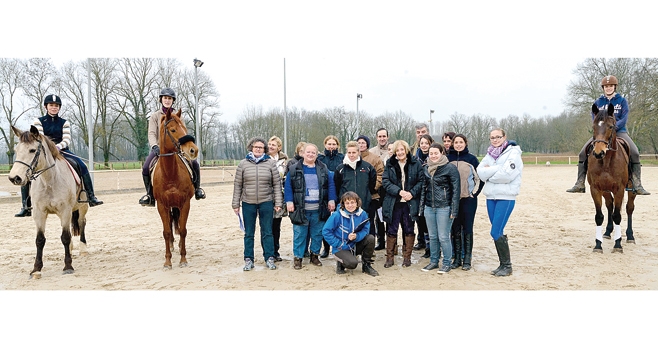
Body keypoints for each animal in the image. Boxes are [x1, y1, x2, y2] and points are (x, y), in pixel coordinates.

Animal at [7, 125, 89, 278]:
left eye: (32, 150)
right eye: (16, 150)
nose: (14, 177)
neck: (49, 181)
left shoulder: (65, 210)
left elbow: (65, 237)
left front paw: (68, 266)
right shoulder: (39, 213)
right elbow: (40, 240)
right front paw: (36, 269)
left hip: (82, 207)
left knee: (81, 224)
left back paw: (83, 248)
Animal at [152, 109, 197, 268]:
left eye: (184, 128)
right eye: (173, 130)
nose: (193, 150)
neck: (170, 174)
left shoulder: (185, 203)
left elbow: (183, 230)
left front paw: (183, 259)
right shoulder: (161, 205)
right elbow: (166, 232)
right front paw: (167, 261)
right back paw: (171, 245)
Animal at [588, 103, 632, 253]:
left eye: (611, 126)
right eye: (593, 126)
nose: (598, 153)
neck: (606, 162)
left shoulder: (619, 190)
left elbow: (617, 215)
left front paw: (618, 245)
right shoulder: (595, 189)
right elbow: (599, 216)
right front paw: (598, 245)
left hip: (631, 190)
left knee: (629, 208)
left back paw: (630, 236)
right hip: (606, 191)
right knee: (609, 205)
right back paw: (607, 232)